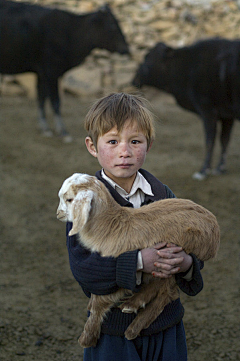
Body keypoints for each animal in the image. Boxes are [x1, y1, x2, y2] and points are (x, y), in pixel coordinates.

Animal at [0, 0, 129, 141]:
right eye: (112, 25)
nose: (126, 48)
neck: (69, 31)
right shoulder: (52, 71)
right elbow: (55, 101)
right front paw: (62, 131)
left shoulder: (42, 73)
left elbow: (41, 97)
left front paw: (44, 128)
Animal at [56, 173, 219, 348]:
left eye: (69, 199)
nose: (58, 214)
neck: (109, 225)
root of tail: (215, 231)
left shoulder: (114, 277)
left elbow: (97, 304)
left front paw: (87, 338)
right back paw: (132, 307)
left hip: (179, 253)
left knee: (166, 293)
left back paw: (132, 322)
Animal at [132, 38, 239, 179]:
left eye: (148, 58)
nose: (134, 79)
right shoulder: (227, 115)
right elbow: (224, 140)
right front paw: (220, 168)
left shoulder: (208, 111)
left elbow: (210, 140)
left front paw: (203, 170)